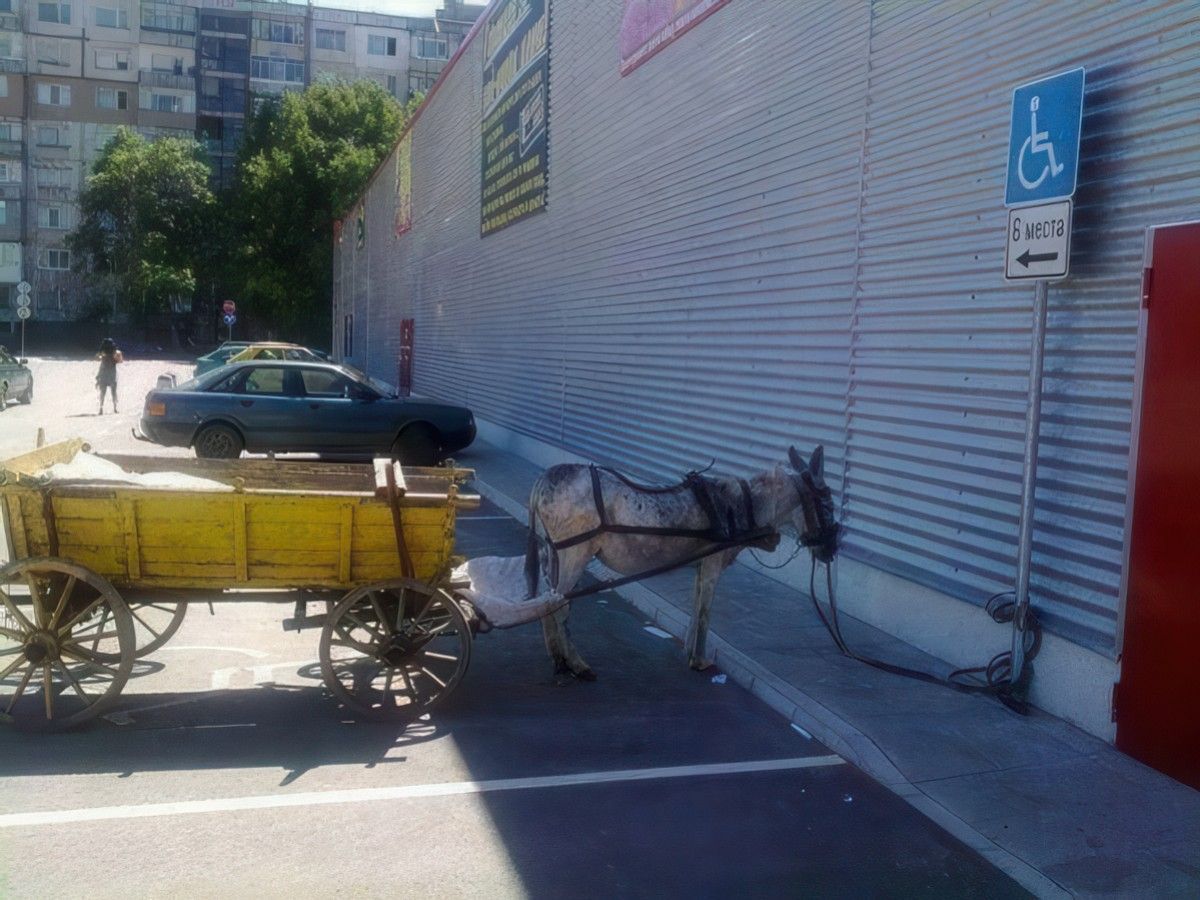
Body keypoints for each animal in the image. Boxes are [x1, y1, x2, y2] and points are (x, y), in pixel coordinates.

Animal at [520, 448, 840, 681]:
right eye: (828, 504)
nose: (832, 550)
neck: (742, 508)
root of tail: (544, 479)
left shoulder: (699, 565)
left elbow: (695, 607)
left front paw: (688, 650)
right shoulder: (712, 564)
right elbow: (705, 612)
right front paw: (699, 660)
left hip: (553, 554)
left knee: (546, 603)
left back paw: (559, 659)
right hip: (575, 554)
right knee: (559, 606)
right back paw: (577, 664)